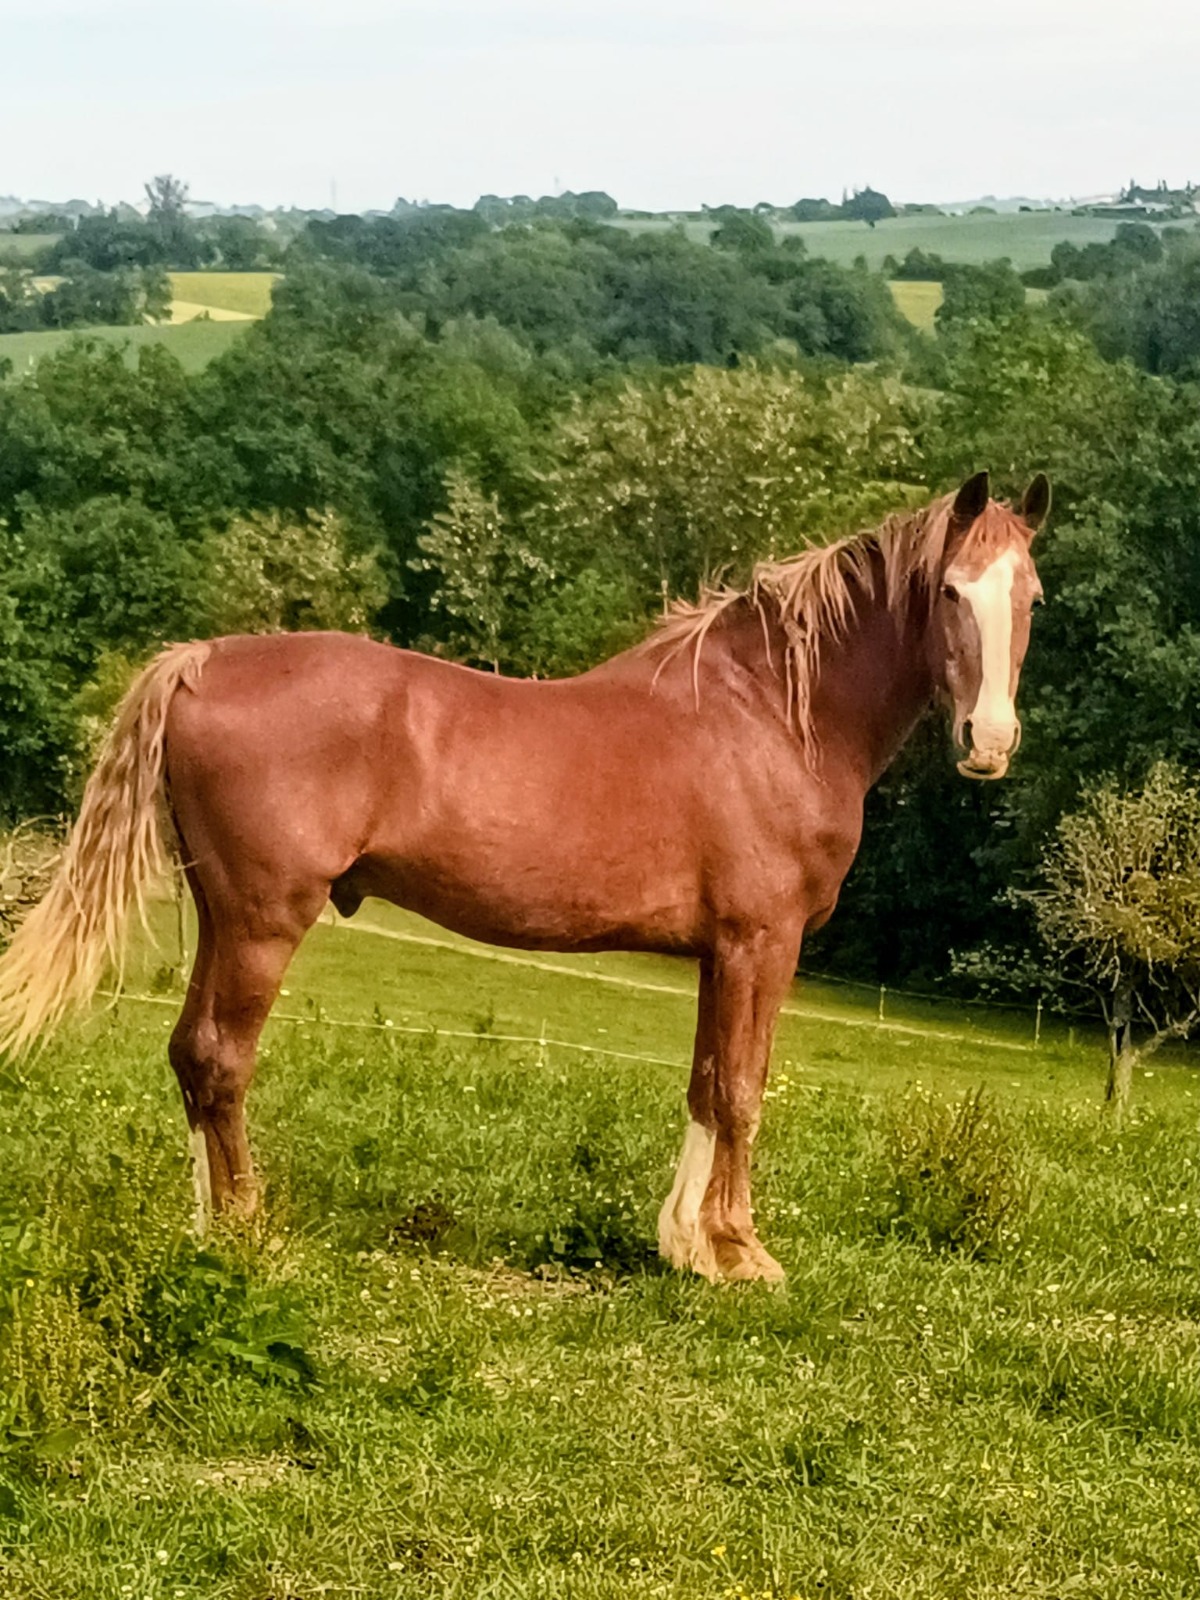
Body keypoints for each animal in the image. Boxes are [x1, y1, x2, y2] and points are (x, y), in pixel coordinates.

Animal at [0, 469, 1047, 1282]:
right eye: (950, 593)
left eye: (1031, 598)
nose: (989, 743)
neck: (773, 714)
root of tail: (201, 660)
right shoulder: (763, 942)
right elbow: (743, 1090)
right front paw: (742, 1253)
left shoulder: (721, 952)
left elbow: (705, 1084)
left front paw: (686, 1248)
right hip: (264, 919)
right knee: (221, 1059)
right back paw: (250, 1232)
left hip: (222, 914)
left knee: (189, 1055)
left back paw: (207, 1228)